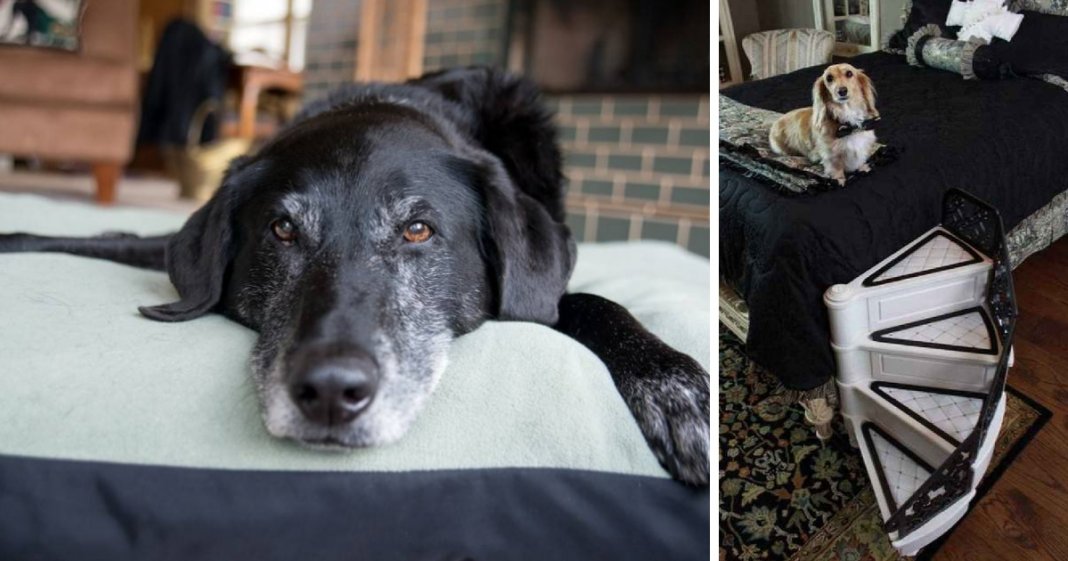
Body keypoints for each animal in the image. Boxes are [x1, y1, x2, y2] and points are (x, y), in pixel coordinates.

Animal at [0, 67, 709, 482]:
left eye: (418, 230)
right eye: (282, 230)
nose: (331, 394)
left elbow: (590, 302)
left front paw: (675, 385)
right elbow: (102, 238)